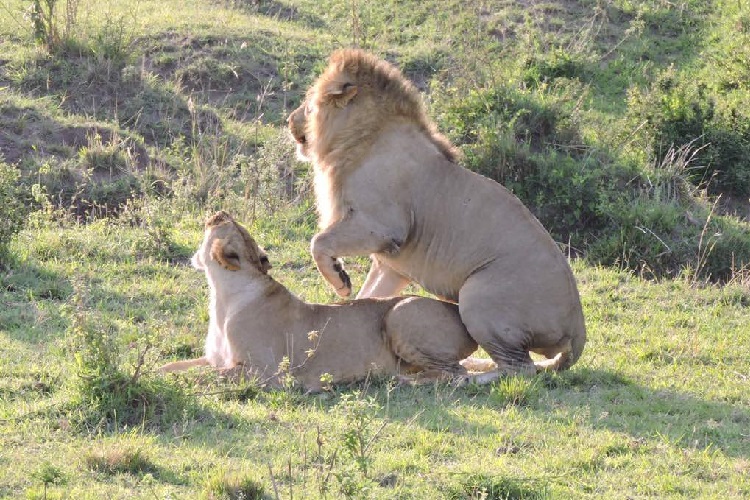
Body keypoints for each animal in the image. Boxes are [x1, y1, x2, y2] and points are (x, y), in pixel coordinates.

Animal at [160, 211, 500, 390]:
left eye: (226, 224)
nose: (218, 213)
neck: (221, 296)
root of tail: (458, 310)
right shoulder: (218, 358)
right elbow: (175, 365)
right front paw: (157, 371)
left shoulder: (267, 373)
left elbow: (209, 375)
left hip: (401, 312)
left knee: (457, 374)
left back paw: (397, 379)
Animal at [288, 49, 588, 376]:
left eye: (308, 100)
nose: (288, 120)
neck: (360, 139)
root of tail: (578, 329)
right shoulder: (391, 264)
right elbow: (369, 296)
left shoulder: (382, 226)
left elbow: (318, 242)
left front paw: (339, 280)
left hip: (477, 297)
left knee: (519, 368)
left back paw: (467, 375)